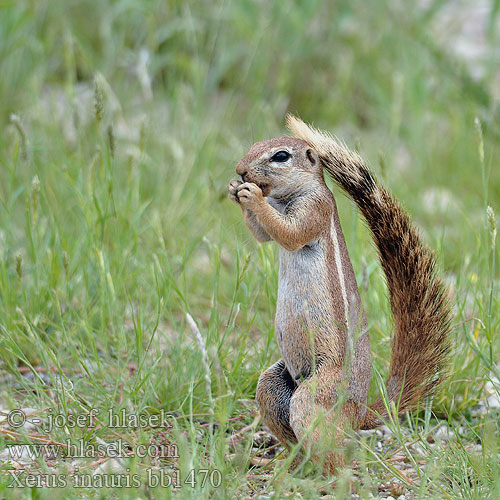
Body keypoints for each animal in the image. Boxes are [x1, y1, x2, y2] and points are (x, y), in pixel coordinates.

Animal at [229, 115, 452, 474]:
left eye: (280, 156)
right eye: (254, 145)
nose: (241, 170)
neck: (286, 196)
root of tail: (358, 415)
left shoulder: (315, 209)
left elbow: (289, 232)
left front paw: (250, 195)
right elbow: (264, 234)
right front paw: (234, 190)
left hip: (318, 393)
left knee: (326, 445)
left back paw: (322, 475)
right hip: (274, 384)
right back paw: (284, 465)